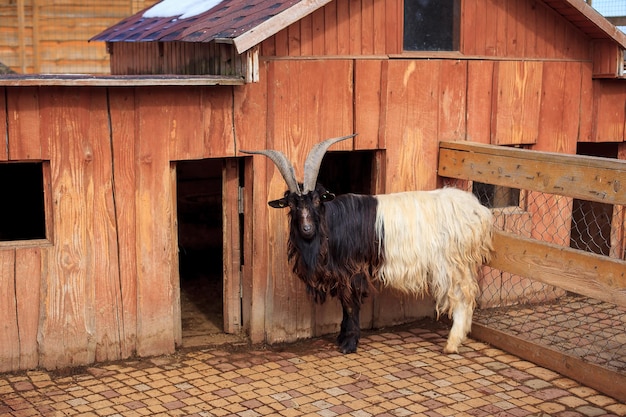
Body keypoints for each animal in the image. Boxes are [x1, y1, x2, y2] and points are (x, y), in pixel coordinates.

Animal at [241, 135, 490, 352]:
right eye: (292, 205)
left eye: (317, 201)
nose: (307, 229)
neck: (331, 225)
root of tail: (477, 210)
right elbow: (344, 304)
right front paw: (342, 337)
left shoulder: (353, 270)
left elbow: (351, 304)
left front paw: (348, 343)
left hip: (452, 263)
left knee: (463, 295)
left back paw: (452, 344)